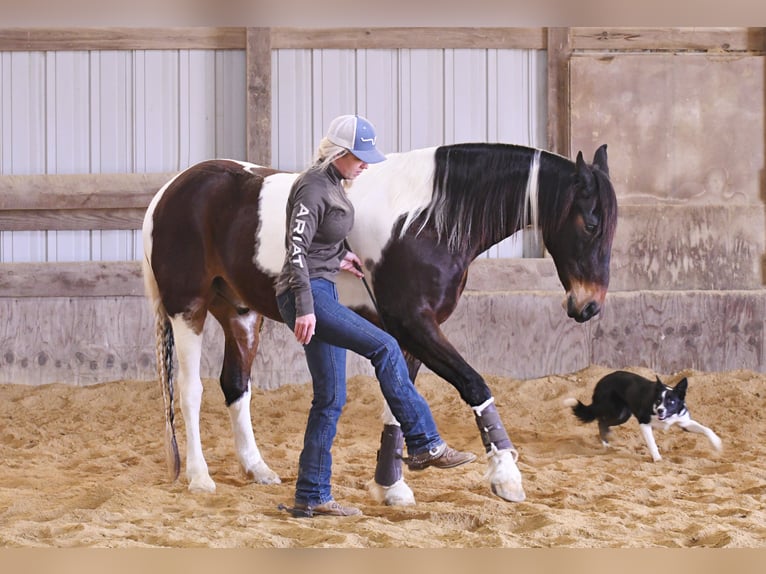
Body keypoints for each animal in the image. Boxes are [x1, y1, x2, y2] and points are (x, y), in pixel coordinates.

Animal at [568, 374, 724, 464]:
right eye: (658, 400)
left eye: (671, 401)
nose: (660, 410)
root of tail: (600, 382)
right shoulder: (644, 423)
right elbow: (652, 443)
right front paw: (657, 458)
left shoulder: (685, 423)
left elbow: (706, 429)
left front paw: (716, 444)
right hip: (614, 411)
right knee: (601, 421)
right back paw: (606, 444)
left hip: (623, 415)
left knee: (603, 422)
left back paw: (608, 441)